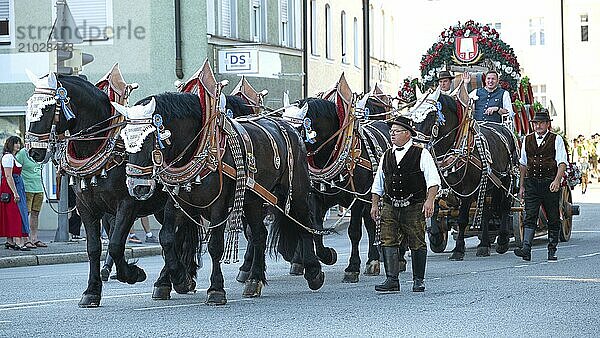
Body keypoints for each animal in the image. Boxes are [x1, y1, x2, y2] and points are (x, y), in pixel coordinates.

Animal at [25, 72, 197, 308]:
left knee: (171, 237)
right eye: (29, 106)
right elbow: (95, 247)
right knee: (174, 237)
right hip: (161, 208)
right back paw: (170, 280)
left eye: (48, 108)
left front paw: (132, 274)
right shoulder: (87, 207)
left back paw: (176, 279)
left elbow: (115, 244)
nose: (33, 152)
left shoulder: (128, 204)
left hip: (174, 204)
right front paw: (92, 291)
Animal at [114, 88, 326, 304]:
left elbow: (215, 245)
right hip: (253, 200)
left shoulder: (219, 205)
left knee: (305, 225)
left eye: (148, 139)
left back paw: (313, 272)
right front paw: (178, 278)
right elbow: (166, 238)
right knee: (259, 235)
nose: (137, 188)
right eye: (125, 140)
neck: (199, 148)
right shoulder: (178, 204)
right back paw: (254, 280)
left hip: (297, 191)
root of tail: (288, 127)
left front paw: (215, 289)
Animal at [284, 95, 392, 282]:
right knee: (371, 224)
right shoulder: (316, 198)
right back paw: (373, 260)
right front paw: (327, 255)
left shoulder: (356, 199)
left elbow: (354, 232)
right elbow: (316, 229)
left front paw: (352, 268)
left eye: (296, 128)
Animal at [410, 89, 516, 258]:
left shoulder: (467, 189)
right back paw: (484, 245)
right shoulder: (436, 185)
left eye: (431, 115)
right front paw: (435, 236)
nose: (416, 147)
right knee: (485, 212)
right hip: (486, 184)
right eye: (412, 116)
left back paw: (502, 241)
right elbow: (432, 210)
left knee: (505, 207)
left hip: (506, 178)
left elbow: (462, 219)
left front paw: (458, 249)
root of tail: (504, 128)